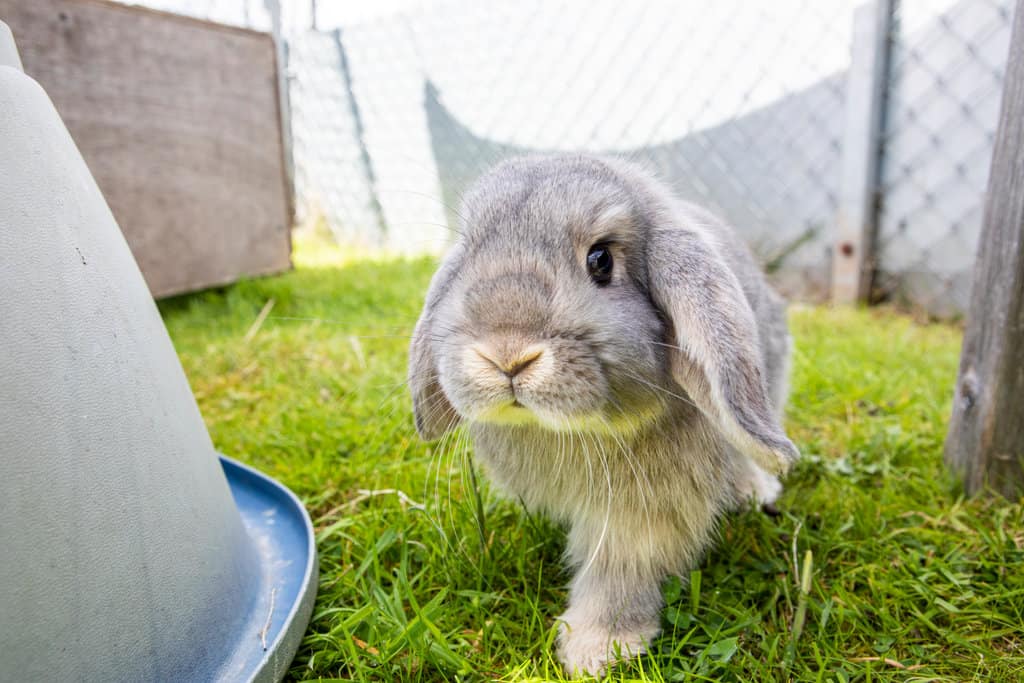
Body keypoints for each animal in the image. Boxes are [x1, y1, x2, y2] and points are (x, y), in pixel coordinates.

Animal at [408, 154, 798, 676]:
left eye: (601, 260)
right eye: (469, 252)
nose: (506, 355)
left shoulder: (642, 517)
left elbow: (618, 573)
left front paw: (596, 650)